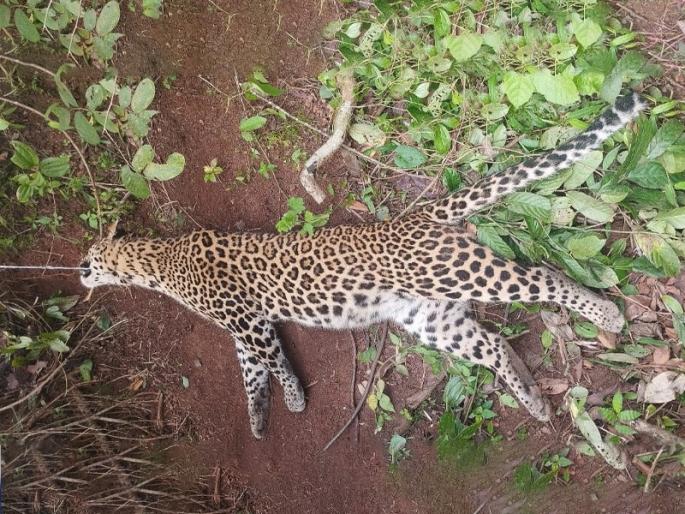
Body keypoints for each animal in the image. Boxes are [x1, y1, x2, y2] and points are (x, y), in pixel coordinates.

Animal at [80, 93, 644, 439]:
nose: (79, 271)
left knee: (542, 276)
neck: (155, 260)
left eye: (87, 258)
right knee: (493, 343)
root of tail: (414, 218)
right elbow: (250, 373)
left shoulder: (249, 323)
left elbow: (274, 364)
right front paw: (260, 419)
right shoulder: (244, 328)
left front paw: (293, 401)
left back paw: (606, 316)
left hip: (455, 270)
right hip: (429, 315)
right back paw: (533, 400)